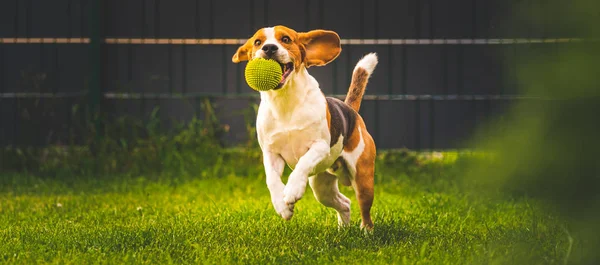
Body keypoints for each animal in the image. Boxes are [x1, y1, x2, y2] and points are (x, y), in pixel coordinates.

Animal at [232, 25, 378, 229]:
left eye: (286, 39)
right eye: (258, 42)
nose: (269, 48)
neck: (285, 100)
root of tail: (350, 110)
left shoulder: (320, 146)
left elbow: (303, 163)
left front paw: (292, 190)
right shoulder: (270, 153)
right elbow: (272, 179)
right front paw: (281, 205)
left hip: (363, 178)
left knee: (365, 212)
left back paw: (365, 231)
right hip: (321, 186)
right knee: (345, 203)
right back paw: (343, 229)